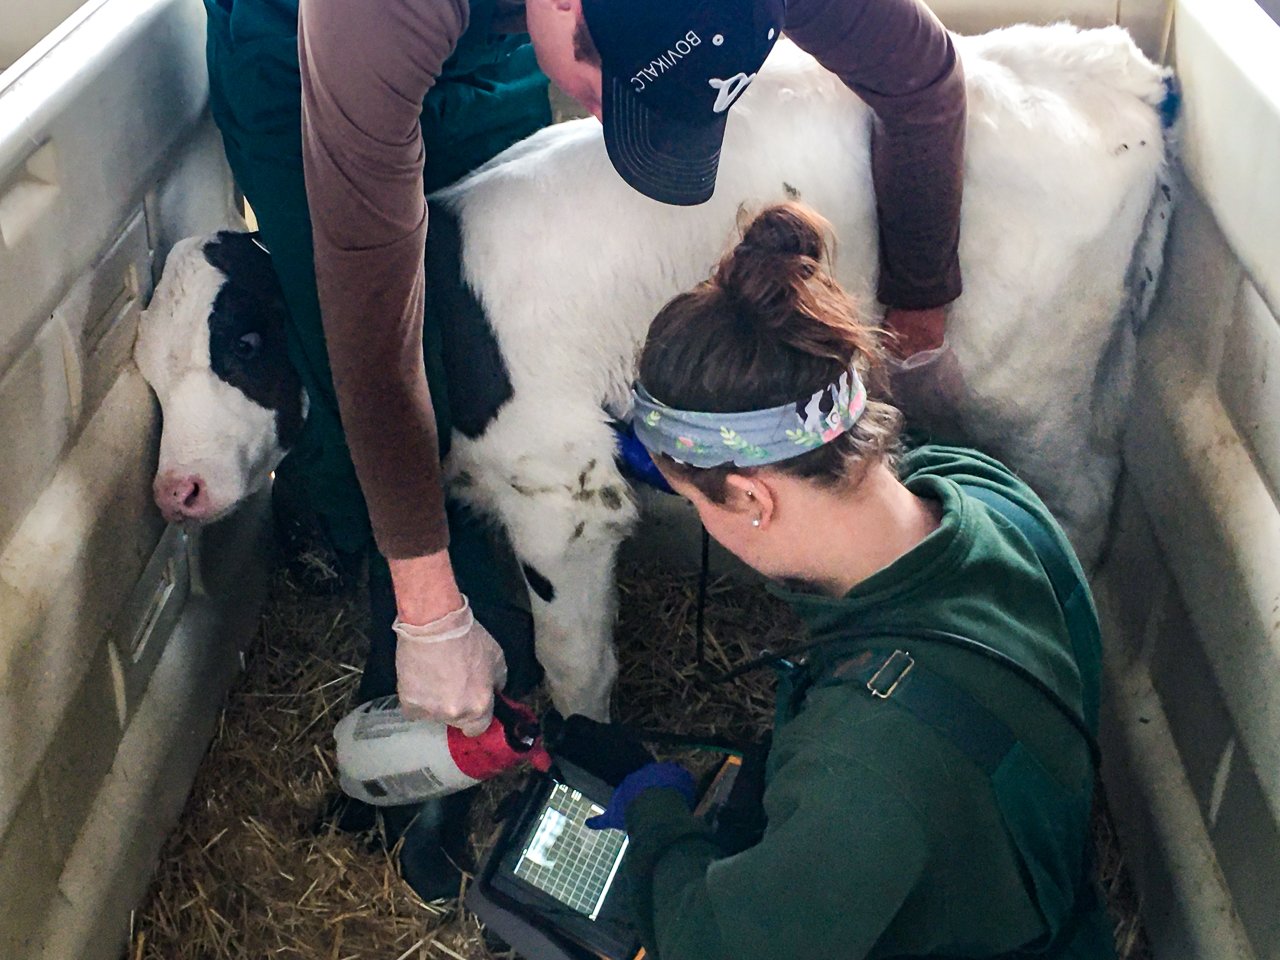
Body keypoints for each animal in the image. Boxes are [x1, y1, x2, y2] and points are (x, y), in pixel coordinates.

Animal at [135, 26, 1172, 716]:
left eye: (246, 345)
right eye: (148, 366)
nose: (174, 491)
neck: (439, 325)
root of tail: (1114, 68)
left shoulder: (566, 497)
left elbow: (575, 661)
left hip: (1027, 387)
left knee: (1084, 494)